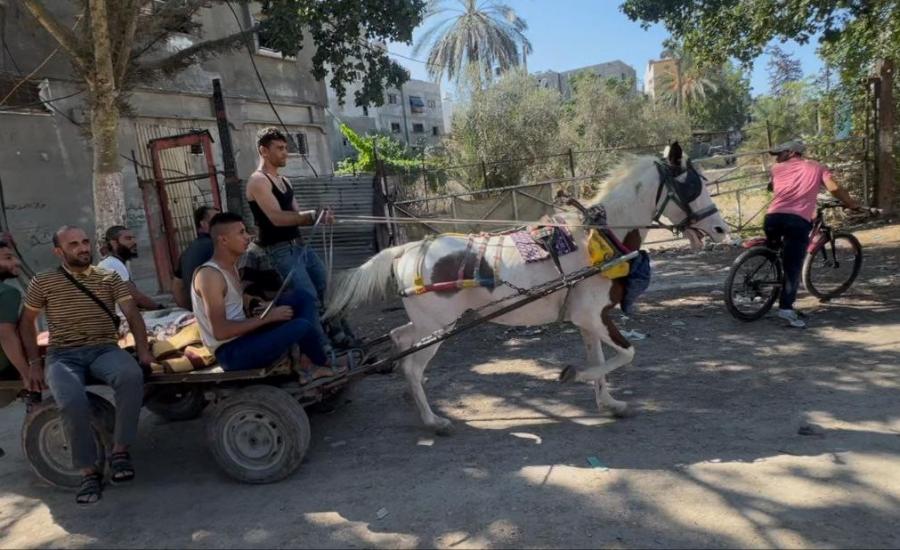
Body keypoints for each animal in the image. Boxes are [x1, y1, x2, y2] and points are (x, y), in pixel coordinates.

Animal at [326, 150, 728, 436]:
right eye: (693, 185)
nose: (722, 229)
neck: (598, 237)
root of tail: (408, 249)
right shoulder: (592, 316)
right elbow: (626, 354)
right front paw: (573, 376)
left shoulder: (588, 319)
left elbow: (602, 359)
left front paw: (608, 402)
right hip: (437, 329)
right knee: (411, 366)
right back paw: (433, 421)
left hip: (427, 326)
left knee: (399, 337)